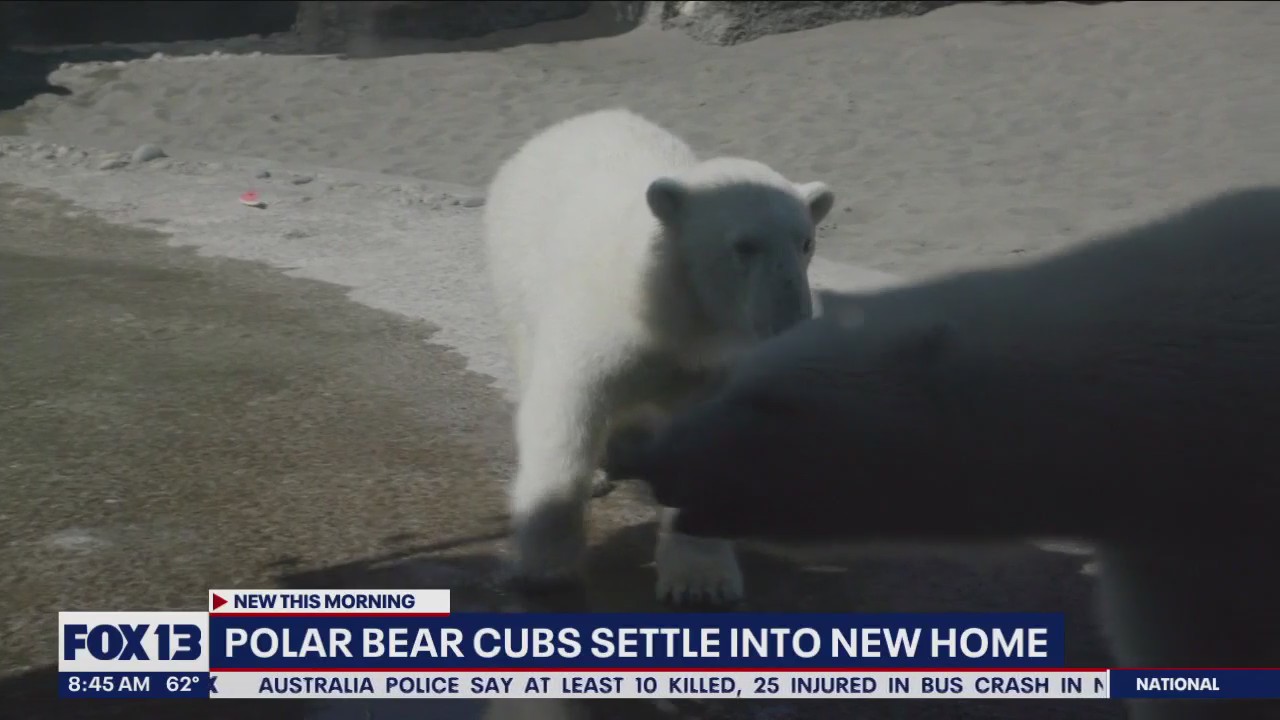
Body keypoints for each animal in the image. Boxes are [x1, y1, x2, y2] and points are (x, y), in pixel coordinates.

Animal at [481, 108, 835, 605]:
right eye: (744, 245)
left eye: (806, 243)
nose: (791, 318)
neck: (669, 310)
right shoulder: (600, 330)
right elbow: (565, 415)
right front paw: (544, 569)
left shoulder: (715, 361)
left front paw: (701, 583)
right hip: (515, 272)